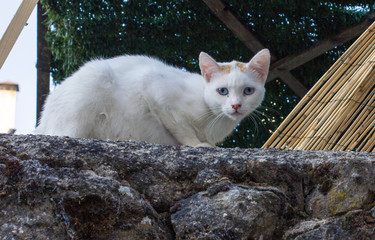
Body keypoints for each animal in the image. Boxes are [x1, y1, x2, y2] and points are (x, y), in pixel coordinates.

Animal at [35, 49, 270, 147]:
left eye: (248, 91)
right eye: (223, 91)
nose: (236, 105)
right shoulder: (154, 86)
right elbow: (181, 128)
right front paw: (197, 145)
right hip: (95, 79)